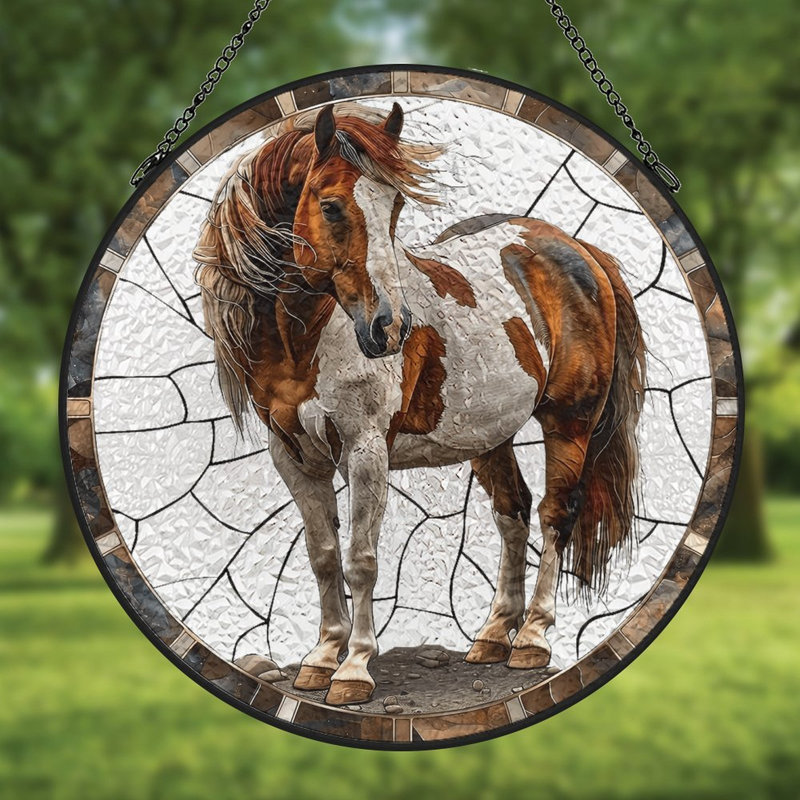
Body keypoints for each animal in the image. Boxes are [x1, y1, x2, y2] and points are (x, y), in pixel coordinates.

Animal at [193, 102, 646, 706]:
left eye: (397, 206)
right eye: (329, 205)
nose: (390, 328)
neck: (307, 339)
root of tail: (579, 253)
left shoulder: (366, 453)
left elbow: (361, 561)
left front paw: (355, 668)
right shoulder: (293, 456)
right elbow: (323, 556)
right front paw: (321, 658)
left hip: (569, 422)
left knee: (556, 516)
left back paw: (531, 638)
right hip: (489, 435)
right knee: (514, 512)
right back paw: (492, 636)